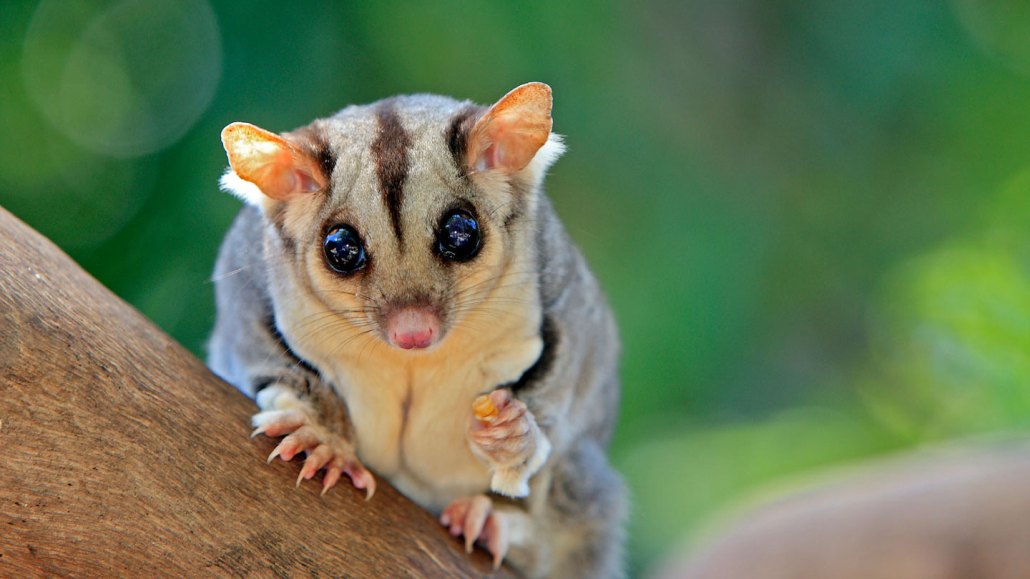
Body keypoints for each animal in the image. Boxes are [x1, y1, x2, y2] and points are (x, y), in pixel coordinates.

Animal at [208, 82, 626, 578]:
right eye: (341, 248)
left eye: (461, 233)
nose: (413, 333)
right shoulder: (247, 277)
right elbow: (265, 354)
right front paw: (323, 436)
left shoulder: (564, 292)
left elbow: (563, 381)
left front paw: (514, 436)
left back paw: (493, 518)